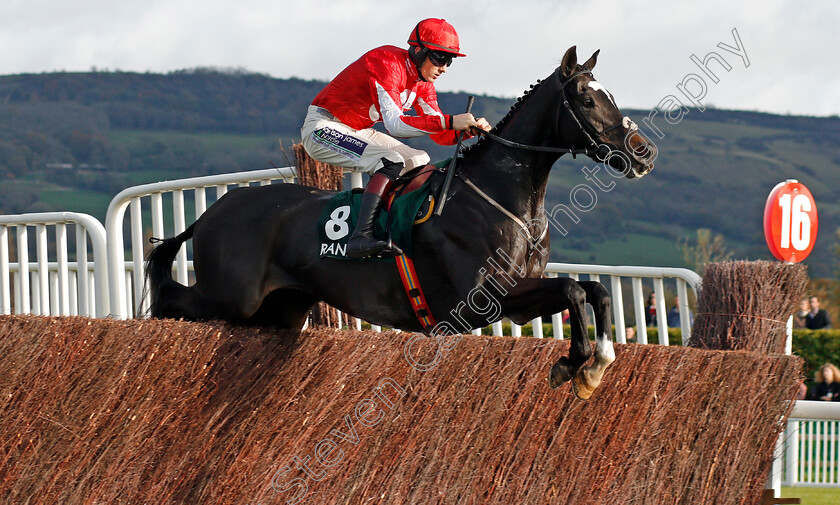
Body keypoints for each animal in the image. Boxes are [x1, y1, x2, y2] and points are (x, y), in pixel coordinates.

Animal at [146, 47, 656, 398]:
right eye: (587, 100)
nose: (643, 151)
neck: (504, 195)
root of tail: (211, 214)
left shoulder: (517, 299)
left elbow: (593, 289)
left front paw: (594, 363)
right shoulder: (480, 301)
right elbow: (573, 289)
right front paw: (577, 364)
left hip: (279, 310)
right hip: (233, 297)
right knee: (173, 299)